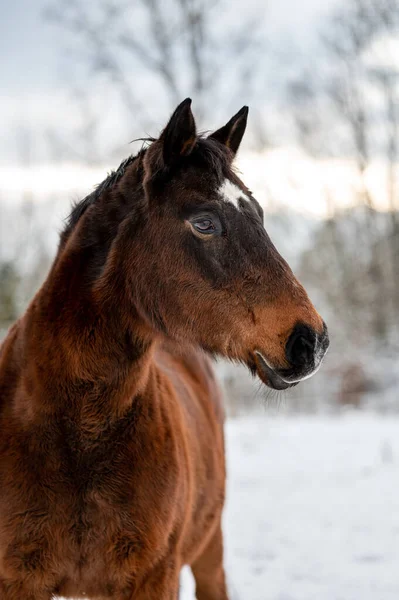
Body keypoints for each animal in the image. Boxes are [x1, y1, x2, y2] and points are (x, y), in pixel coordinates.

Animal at [0, 99, 330, 600]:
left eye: (259, 214)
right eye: (204, 223)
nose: (311, 341)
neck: (73, 436)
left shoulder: (154, 577)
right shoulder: (16, 579)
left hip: (209, 548)